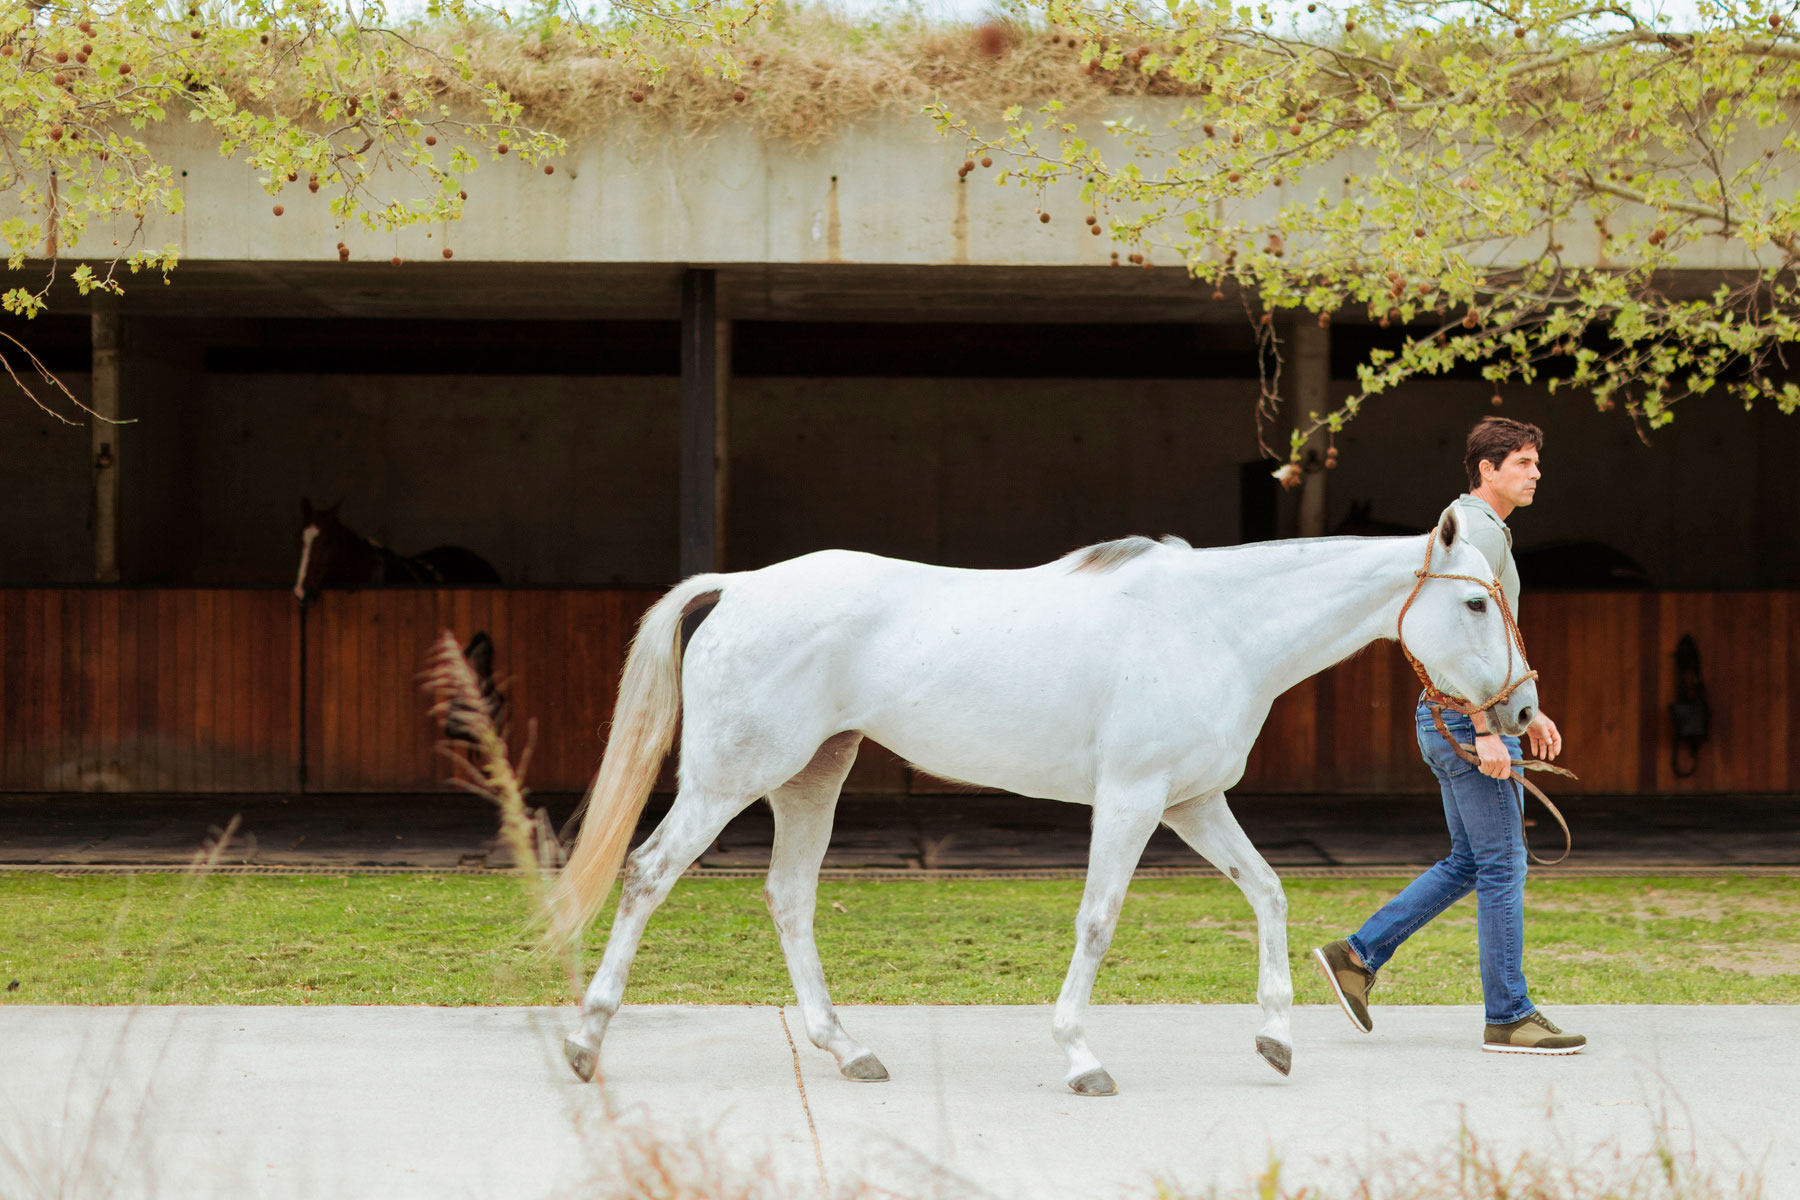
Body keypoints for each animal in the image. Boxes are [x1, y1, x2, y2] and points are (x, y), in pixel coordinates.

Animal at [550, 507, 1533, 1101]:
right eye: (1477, 605)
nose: (1522, 714)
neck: (1215, 626)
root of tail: (740, 586)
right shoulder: (1132, 801)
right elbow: (1098, 921)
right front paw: (1081, 1057)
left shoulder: (1193, 802)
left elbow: (1269, 892)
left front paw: (1277, 1038)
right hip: (730, 779)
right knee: (648, 875)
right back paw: (586, 1044)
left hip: (811, 778)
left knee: (789, 898)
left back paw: (849, 1049)